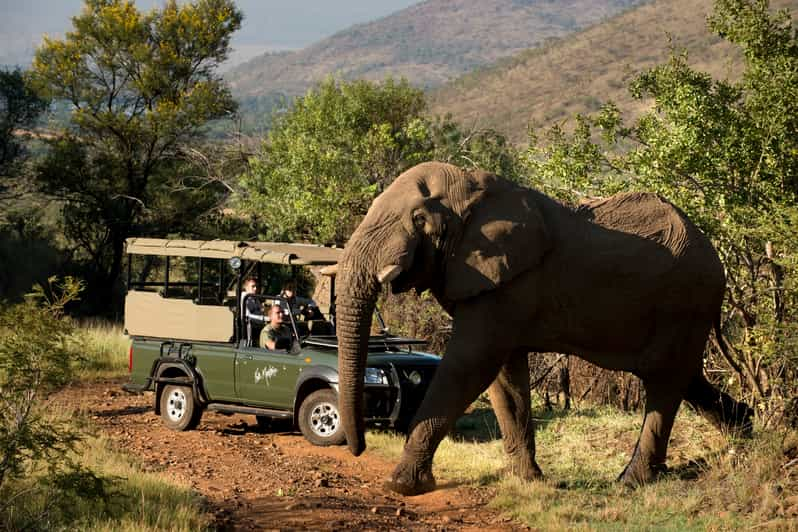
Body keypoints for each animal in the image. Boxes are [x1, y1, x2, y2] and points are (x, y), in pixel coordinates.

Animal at [338, 161, 756, 494]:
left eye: (418, 219)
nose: (356, 448)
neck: (473, 188)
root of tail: (716, 255)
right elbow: (504, 378)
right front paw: (529, 481)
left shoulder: (509, 282)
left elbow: (469, 364)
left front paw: (403, 485)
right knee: (684, 377)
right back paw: (745, 432)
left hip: (685, 300)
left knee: (665, 383)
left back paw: (630, 482)